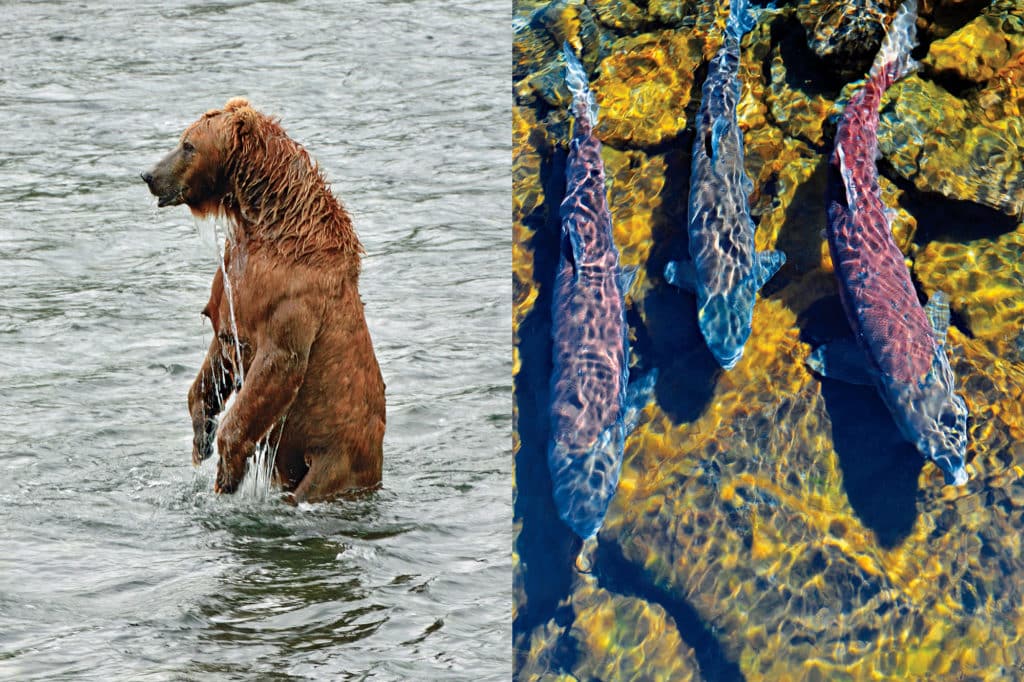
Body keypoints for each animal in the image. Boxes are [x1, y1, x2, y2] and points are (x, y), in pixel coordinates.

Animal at [140, 96, 385, 499]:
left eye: (189, 145)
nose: (148, 175)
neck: (264, 223)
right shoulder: (233, 285)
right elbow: (219, 353)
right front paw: (202, 435)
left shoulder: (289, 297)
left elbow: (278, 363)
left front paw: (228, 471)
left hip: (336, 458)